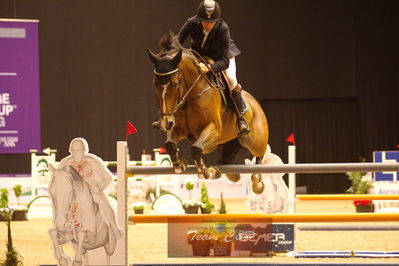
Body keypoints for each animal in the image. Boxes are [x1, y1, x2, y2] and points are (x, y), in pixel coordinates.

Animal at [148, 31, 270, 193]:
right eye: (154, 84)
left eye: (174, 84)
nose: (165, 123)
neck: (191, 94)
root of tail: (255, 103)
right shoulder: (180, 129)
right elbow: (170, 144)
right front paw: (180, 165)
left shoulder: (214, 129)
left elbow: (195, 148)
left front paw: (204, 171)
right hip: (228, 143)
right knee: (226, 161)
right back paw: (226, 173)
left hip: (254, 141)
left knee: (260, 154)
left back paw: (256, 181)